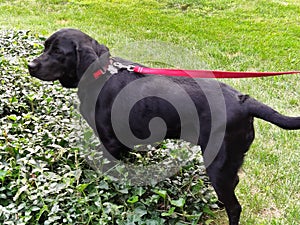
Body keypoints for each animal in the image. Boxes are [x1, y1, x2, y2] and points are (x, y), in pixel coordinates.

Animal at [28, 28, 300, 225]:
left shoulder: (110, 142)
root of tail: (245, 101)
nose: (30, 65)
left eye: (58, 52)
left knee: (235, 206)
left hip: (218, 163)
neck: (101, 74)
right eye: (45, 47)